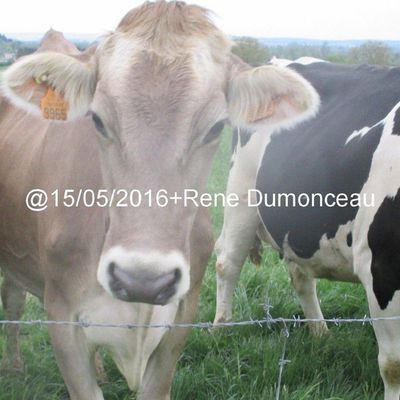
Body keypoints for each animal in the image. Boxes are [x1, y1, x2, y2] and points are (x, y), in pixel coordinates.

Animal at [0, 1, 318, 398]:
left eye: (216, 127)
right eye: (97, 119)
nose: (142, 280)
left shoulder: (179, 322)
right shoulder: (63, 321)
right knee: (12, 302)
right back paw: (14, 366)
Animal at [217, 57, 400, 400]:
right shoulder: (381, 265)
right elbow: (393, 364)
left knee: (300, 277)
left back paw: (320, 333)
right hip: (241, 192)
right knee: (227, 263)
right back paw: (220, 328)